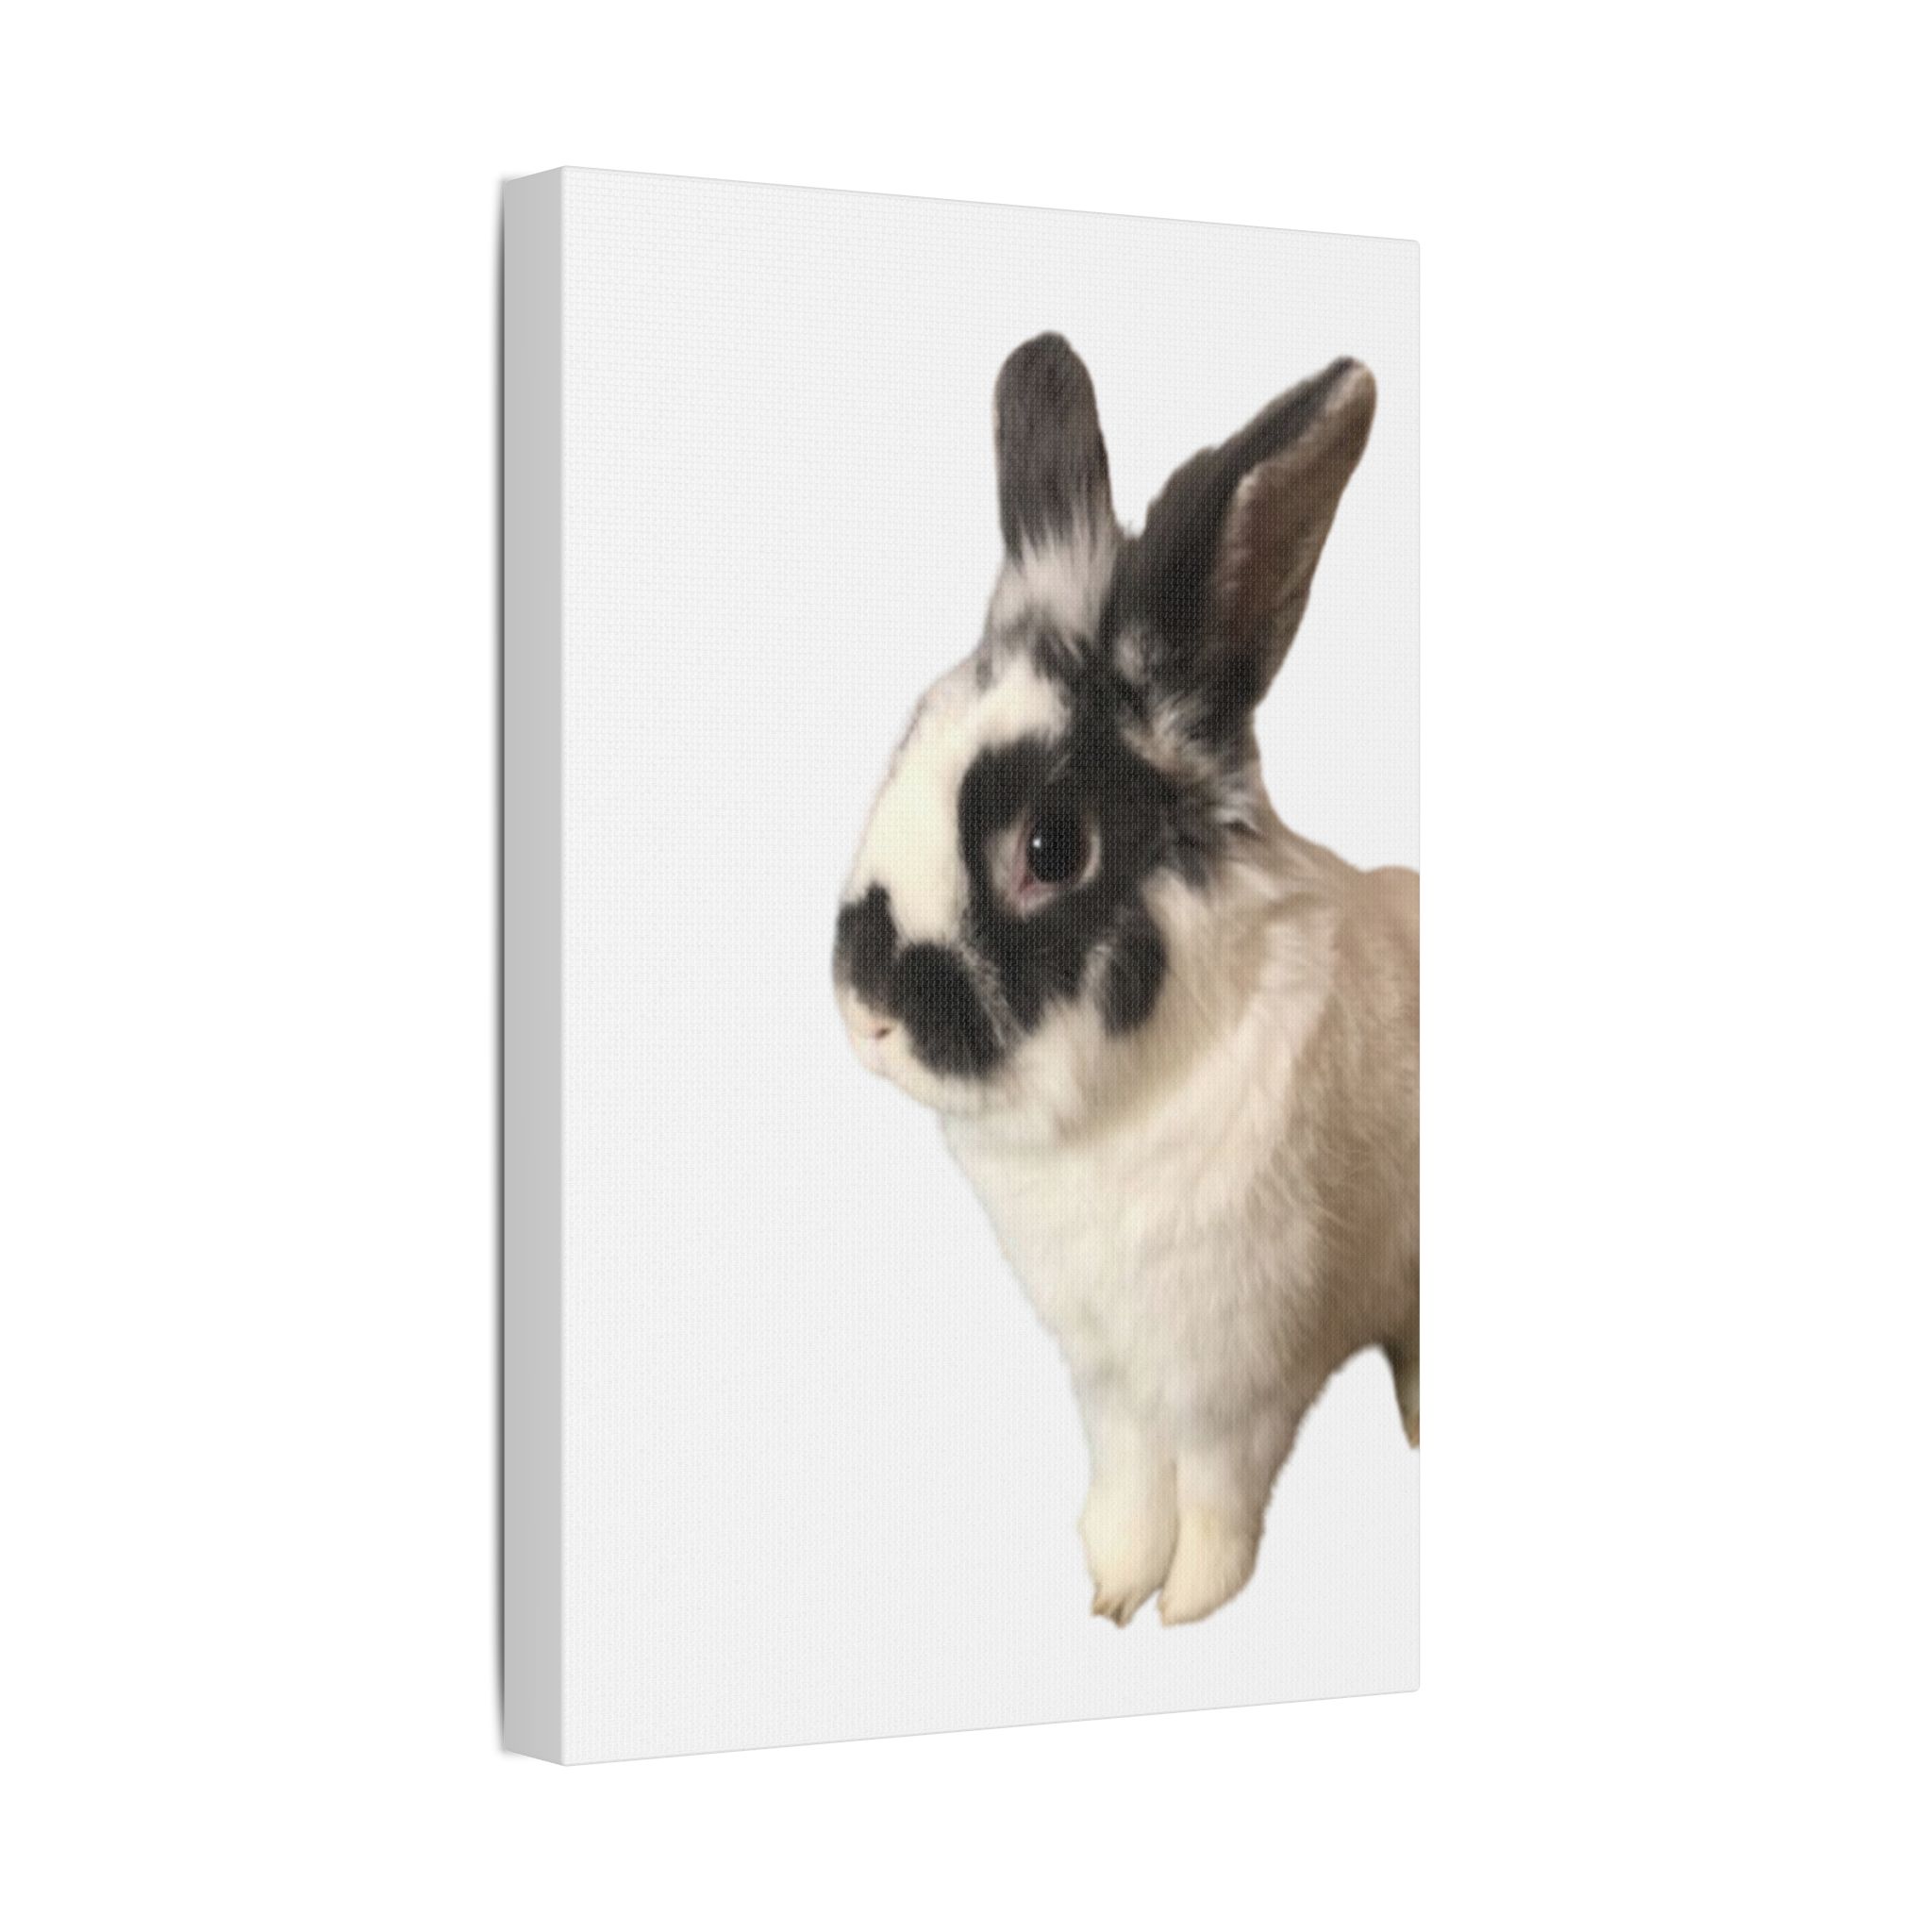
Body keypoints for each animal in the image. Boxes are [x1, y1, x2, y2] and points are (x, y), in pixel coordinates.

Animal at [833, 334, 1417, 1627]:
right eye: (903, 744)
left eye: (1053, 848)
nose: (868, 1009)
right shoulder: (1109, 1373)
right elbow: (1129, 1476)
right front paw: (1110, 1581)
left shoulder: (1231, 1377)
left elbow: (1213, 1487)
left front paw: (1190, 1596)